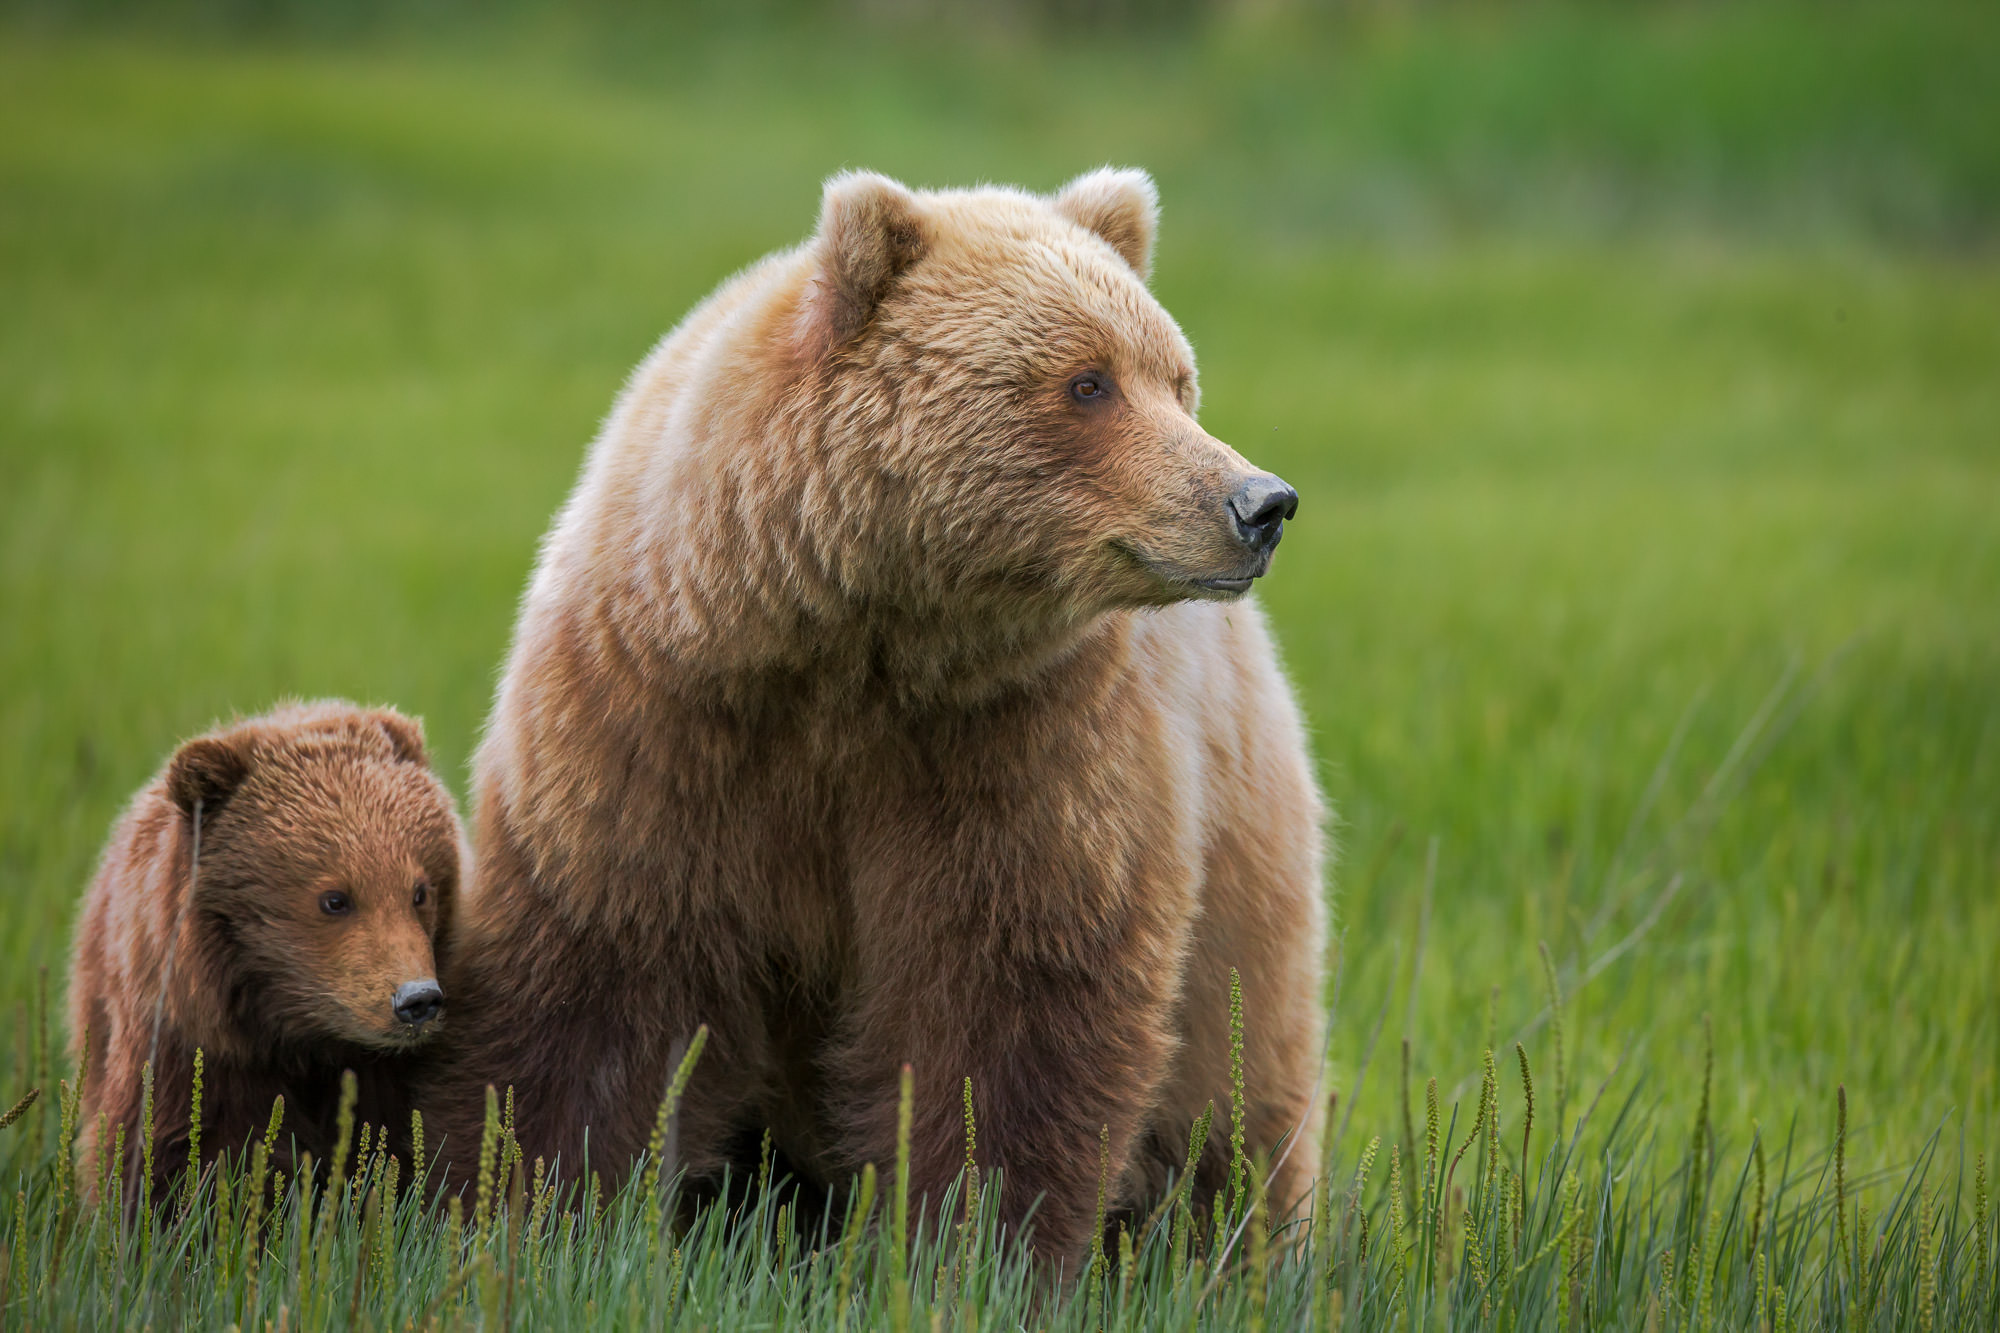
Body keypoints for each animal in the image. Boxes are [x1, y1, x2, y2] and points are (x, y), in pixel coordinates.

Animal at [428, 166, 1328, 1256]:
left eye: (1177, 378)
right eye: (1089, 381)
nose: (1259, 503)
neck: (855, 645)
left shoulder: (1021, 740)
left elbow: (1006, 1010)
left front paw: (968, 1241)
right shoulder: (661, 716)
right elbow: (597, 981)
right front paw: (524, 1212)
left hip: (1248, 940)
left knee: (1228, 1133)